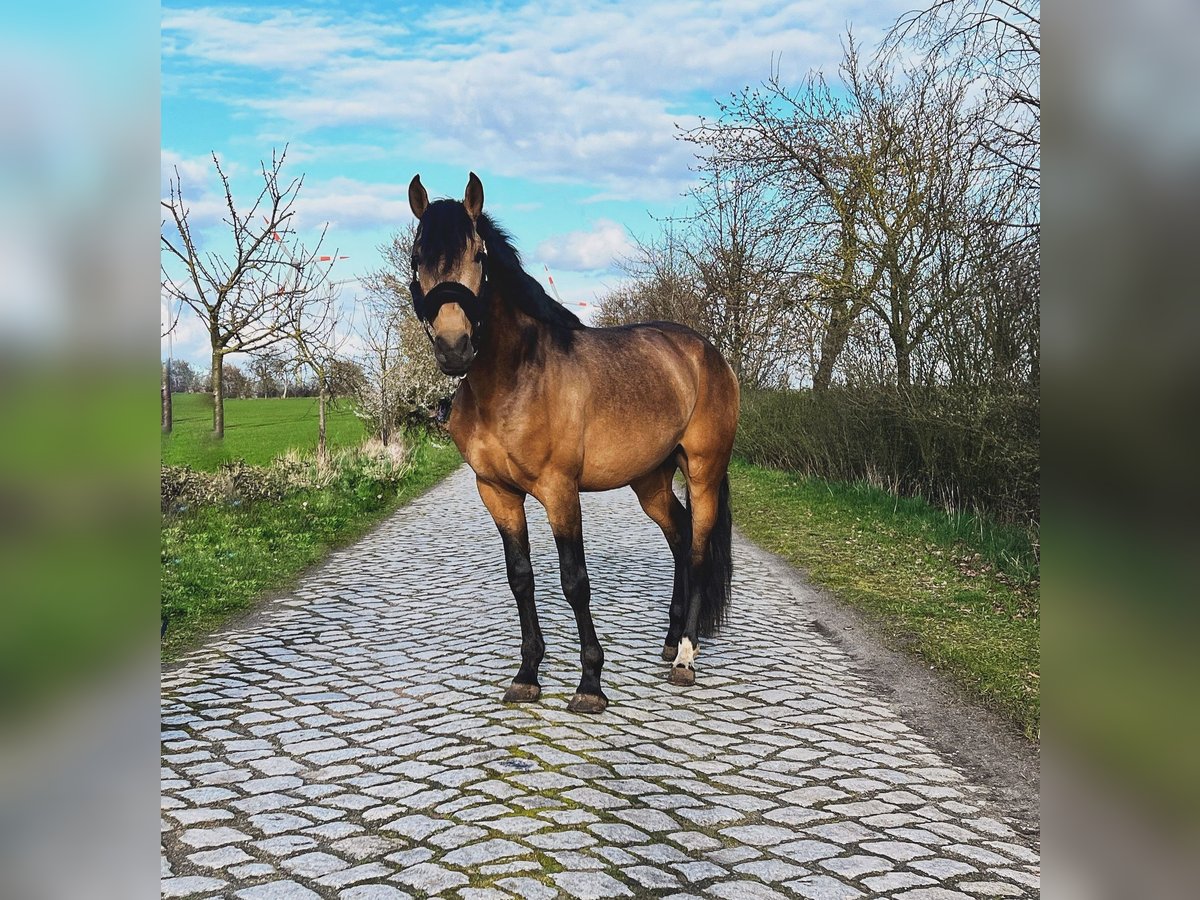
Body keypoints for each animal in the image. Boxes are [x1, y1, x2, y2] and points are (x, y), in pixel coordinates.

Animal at [408, 172, 734, 715]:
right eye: (417, 257)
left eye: (478, 255)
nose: (455, 348)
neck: (513, 381)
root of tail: (706, 353)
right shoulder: (495, 492)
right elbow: (521, 577)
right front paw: (527, 674)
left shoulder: (560, 492)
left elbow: (574, 582)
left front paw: (590, 684)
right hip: (651, 481)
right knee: (680, 537)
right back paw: (669, 643)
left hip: (704, 472)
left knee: (698, 549)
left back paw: (686, 657)